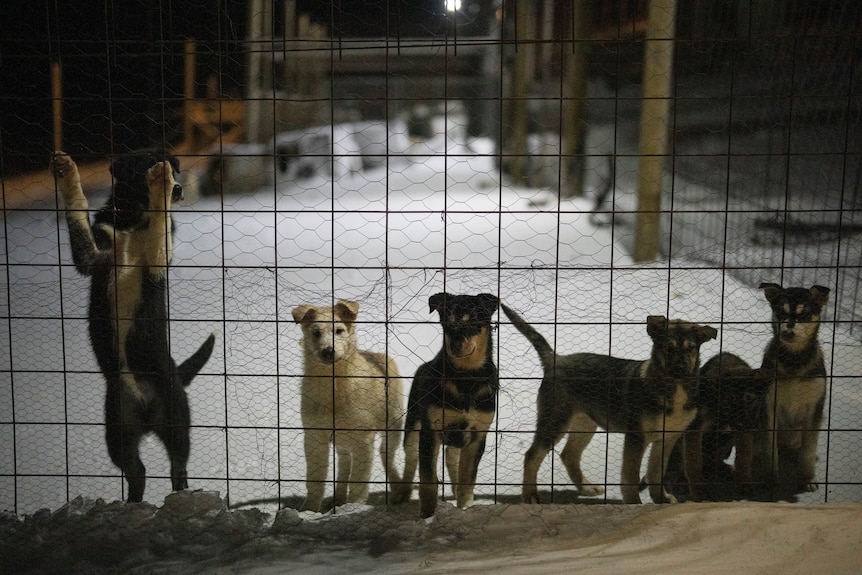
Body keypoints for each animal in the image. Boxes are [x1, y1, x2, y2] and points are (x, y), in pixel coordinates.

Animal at [51, 151, 216, 502]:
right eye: (140, 170)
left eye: (175, 171)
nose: (178, 189)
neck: (133, 221)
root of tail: (144, 404)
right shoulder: (93, 255)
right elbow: (77, 211)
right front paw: (66, 173)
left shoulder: (157, 261)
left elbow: (161, 225)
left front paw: (161, 189)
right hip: (118, 429)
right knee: (136, 470)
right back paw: (132, 504)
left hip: (175, 419)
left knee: (177, 466)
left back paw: (177, 496)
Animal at [292, 300, 406, 510]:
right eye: (316, 332)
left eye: (339, 330)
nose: (328, 351)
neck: (334, 385)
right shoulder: (314, 436)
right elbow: (315, 479)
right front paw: (310, 511)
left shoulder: (364, 439)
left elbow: (359, 480)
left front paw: (353, 508)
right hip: (342, 439)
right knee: (345, 461)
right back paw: (338, 497)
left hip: (393, 424)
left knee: (385, 454)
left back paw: (398, 491)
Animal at [392, 292, 500, 516]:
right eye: (447, 323)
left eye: (473, 322)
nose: (455, 345)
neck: (466, 377)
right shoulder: (430, 430)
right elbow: (428, 479)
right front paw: (427, 516)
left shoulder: (478, 435)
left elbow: (468, 478)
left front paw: (465, 507)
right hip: (413, 425)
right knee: (411, 460)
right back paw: (402, 493)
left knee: (452, 456)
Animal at [502, 306, 720, 504]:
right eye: (668, 347)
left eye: (690, 348)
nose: (680, 369)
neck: (674, 389)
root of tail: (555, 360)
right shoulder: (636, 438)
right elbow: (631, 476)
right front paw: (634, 503)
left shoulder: (667, 439)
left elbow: (656, 473)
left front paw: (661, 499)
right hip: (556, 420)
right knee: (532, 455)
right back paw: (530, 495)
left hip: (584, 423)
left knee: (568, 455)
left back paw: (586, 488)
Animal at [760, 282, 832, 492]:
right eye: (780, 313)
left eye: (804, 316)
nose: (788, 332)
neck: (794, 360)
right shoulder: (769, 406)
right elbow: (770, 449)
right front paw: (770, 478)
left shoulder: (815, 410)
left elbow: (808, 450)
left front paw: (808, 478)